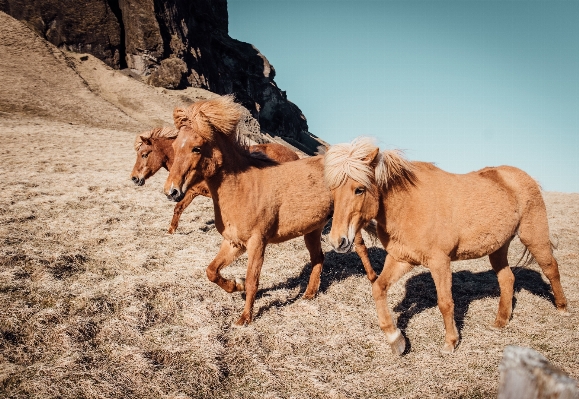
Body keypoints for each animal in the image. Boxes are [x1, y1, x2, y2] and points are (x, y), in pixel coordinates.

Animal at [131, 127, 302, 234]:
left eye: (144, 154)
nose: (134, 178)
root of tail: (294, 155)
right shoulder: (192, 192)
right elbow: (178, 208)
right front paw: (171, 231)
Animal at [163, 97, 380, 328]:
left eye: (196, 148)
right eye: (175, 146)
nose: (171, 191)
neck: (242, 187)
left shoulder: (257, 243)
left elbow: (253, 280)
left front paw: (245, 318)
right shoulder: (233, 243)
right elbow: (211, 271)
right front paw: (236, 285)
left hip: (347, 224)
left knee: (360, 247)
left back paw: (373, 279)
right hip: (312, 230)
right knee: (318, 258)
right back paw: (309, 294)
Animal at [326, 138, 572, 356]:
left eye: (359, 189)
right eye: (333, 191)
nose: (339, 241)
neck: (409, 205)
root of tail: (523, 176)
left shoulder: (440, 262)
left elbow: (445, 302)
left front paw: (450, 343)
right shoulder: (401, 259)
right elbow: (378, 288)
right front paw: (396, 339)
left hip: (533, 236)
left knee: (551, 268)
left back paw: (562, 308)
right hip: (498, 247)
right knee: (507, 279)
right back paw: (500, 321)